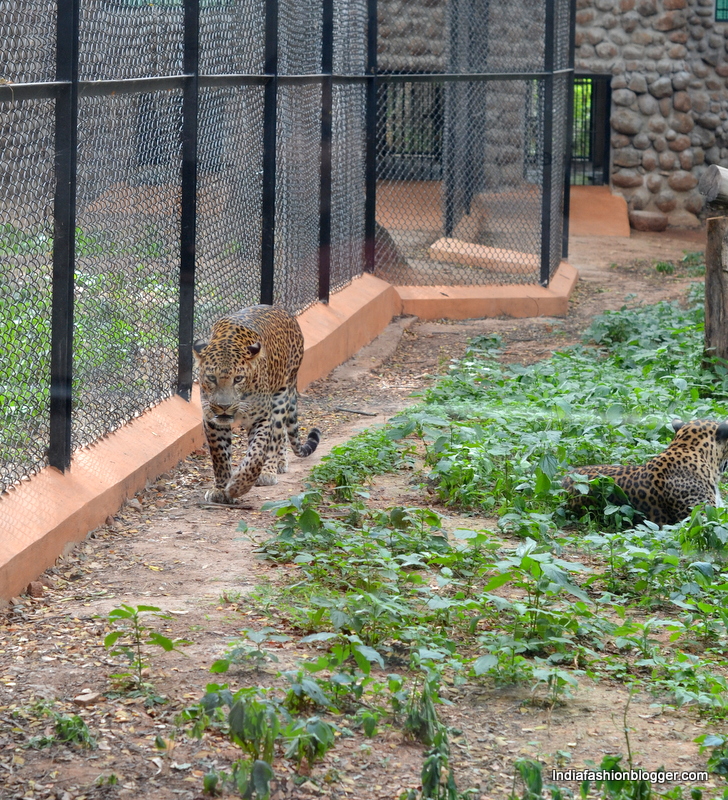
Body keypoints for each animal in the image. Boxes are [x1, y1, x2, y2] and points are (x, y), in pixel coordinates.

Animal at [192, 304, 320, 504]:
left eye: (238, 379)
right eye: (211, 378)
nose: (224, 406)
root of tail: (283, 312)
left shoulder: (262, 418)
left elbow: (257, 453)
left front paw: (238, 486)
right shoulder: (212, 420)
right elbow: (220, 456)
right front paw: (220, 489)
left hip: (281, 395)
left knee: (277, 434)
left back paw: (269, 471)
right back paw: (281, 462)